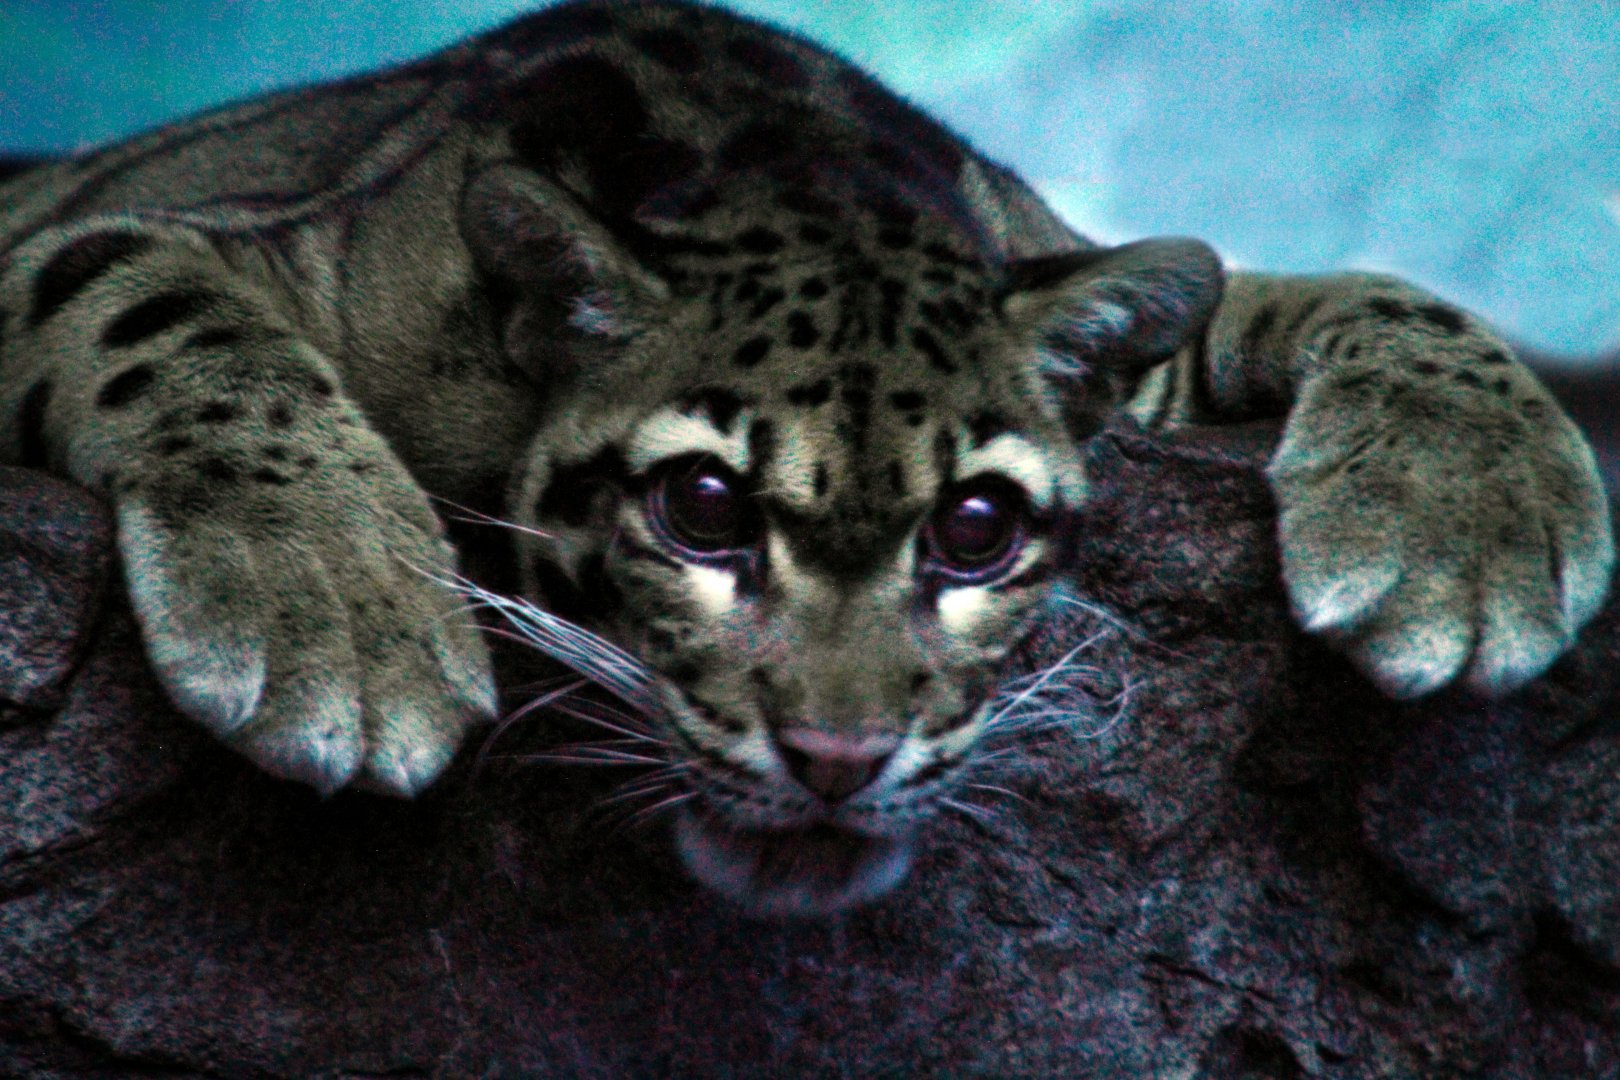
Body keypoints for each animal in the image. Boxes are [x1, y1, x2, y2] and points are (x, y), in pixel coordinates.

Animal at [0, 0, 1610, 917]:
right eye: (702, 509)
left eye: (977, 530)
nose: (840, 760)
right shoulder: (151, 233)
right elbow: (155, 304)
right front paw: (330, 611)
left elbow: (1354, 287)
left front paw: (1473, 517)